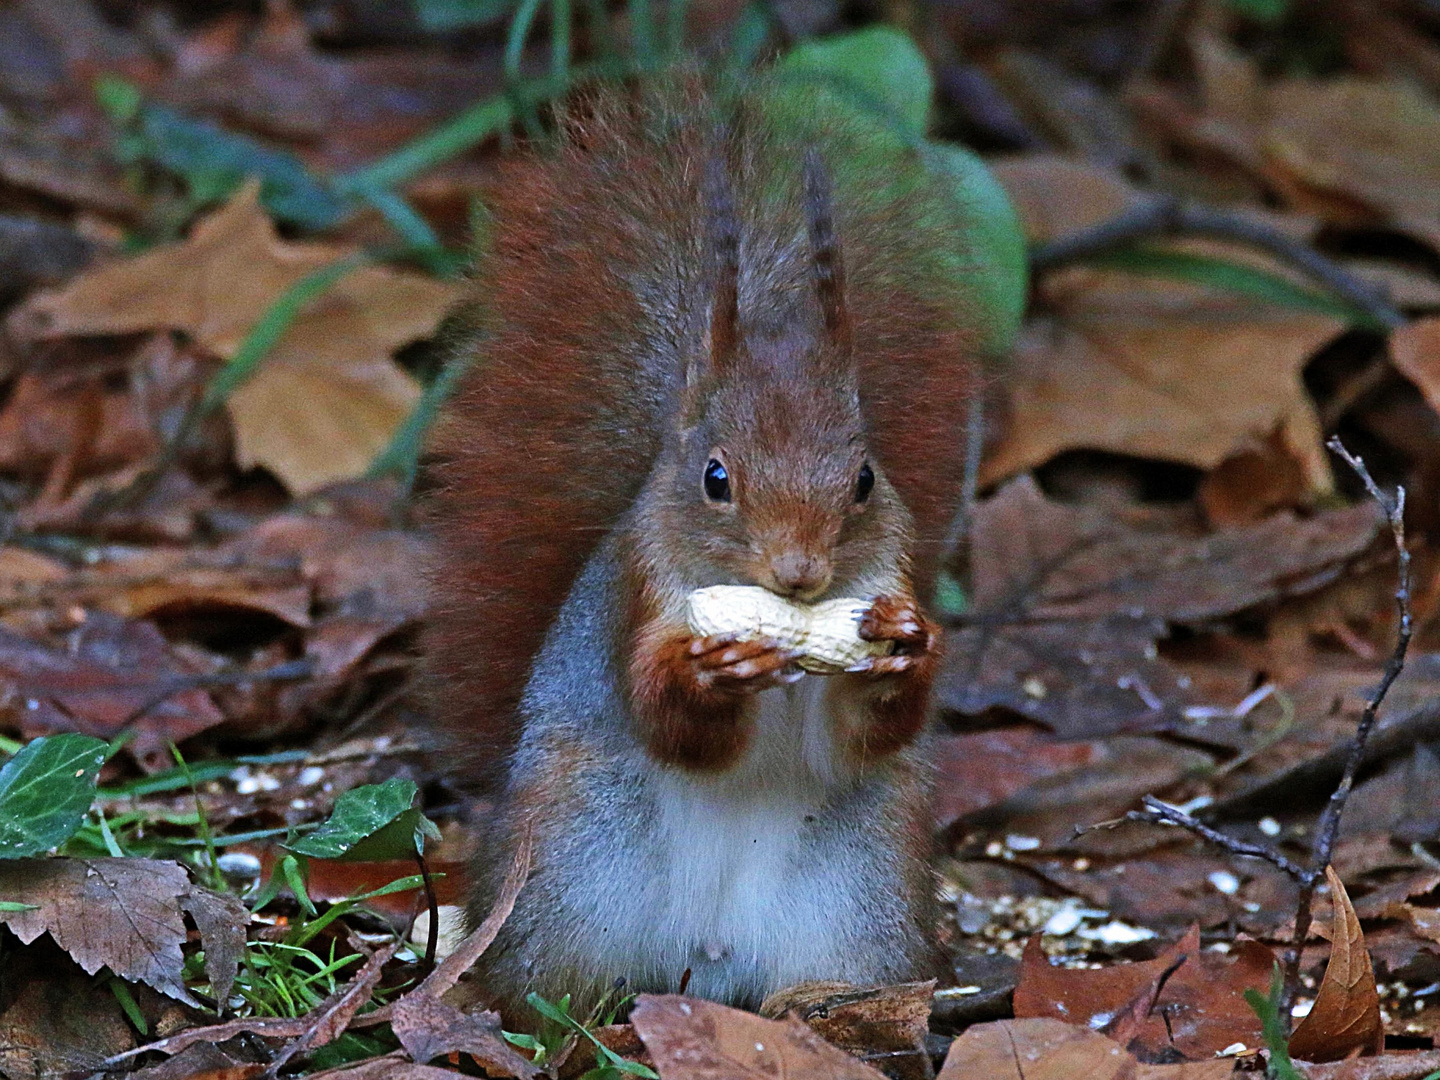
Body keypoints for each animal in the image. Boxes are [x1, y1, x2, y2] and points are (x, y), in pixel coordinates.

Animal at [426, 74, 984, 1013]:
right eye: (716, 477)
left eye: (865, 479)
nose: (799, 575)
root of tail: (707, 956)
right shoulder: (640, 589)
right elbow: (667, 720)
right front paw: (708, 673)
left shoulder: (890, 570)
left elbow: (860, 737)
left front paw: (909, 646)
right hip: (571, 862)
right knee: (544, 987)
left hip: (859, 889)